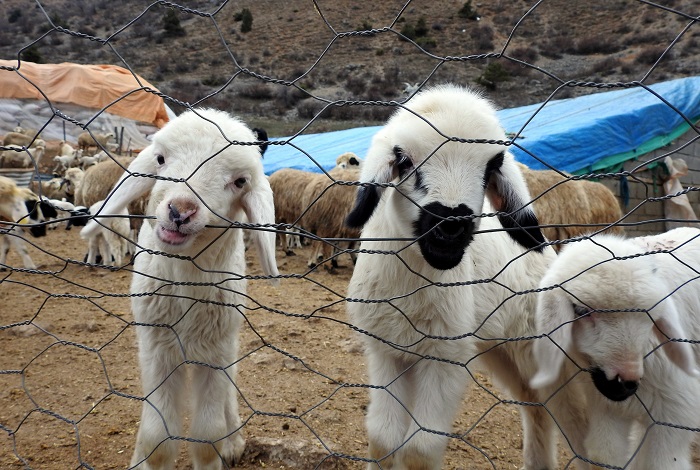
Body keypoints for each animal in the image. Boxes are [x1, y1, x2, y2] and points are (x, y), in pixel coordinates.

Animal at [80, 107, 278, 470]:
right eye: (160, 158)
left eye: (240, 181)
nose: (180, 211)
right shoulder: (157, 348)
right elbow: (157, 439)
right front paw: (146, 458)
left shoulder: (214, 351)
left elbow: (207, 437)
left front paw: (221, 448)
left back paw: (234, 442)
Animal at [344, 85, 592, 470]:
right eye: (405, 161)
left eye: (490, 168)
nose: (451, 226)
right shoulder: (387, 349)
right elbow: (383, 439)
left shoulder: (445, 356)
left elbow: (420, 449)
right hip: (499, 348)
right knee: (535, 406)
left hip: (543, 346)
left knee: (576, 425)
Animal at [532, 226, 700, 468]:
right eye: (581, 311)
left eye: (651, 316)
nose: (627, 381)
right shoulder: (606, 408)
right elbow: (605, 454)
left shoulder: (676, 411)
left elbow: (662, 463)